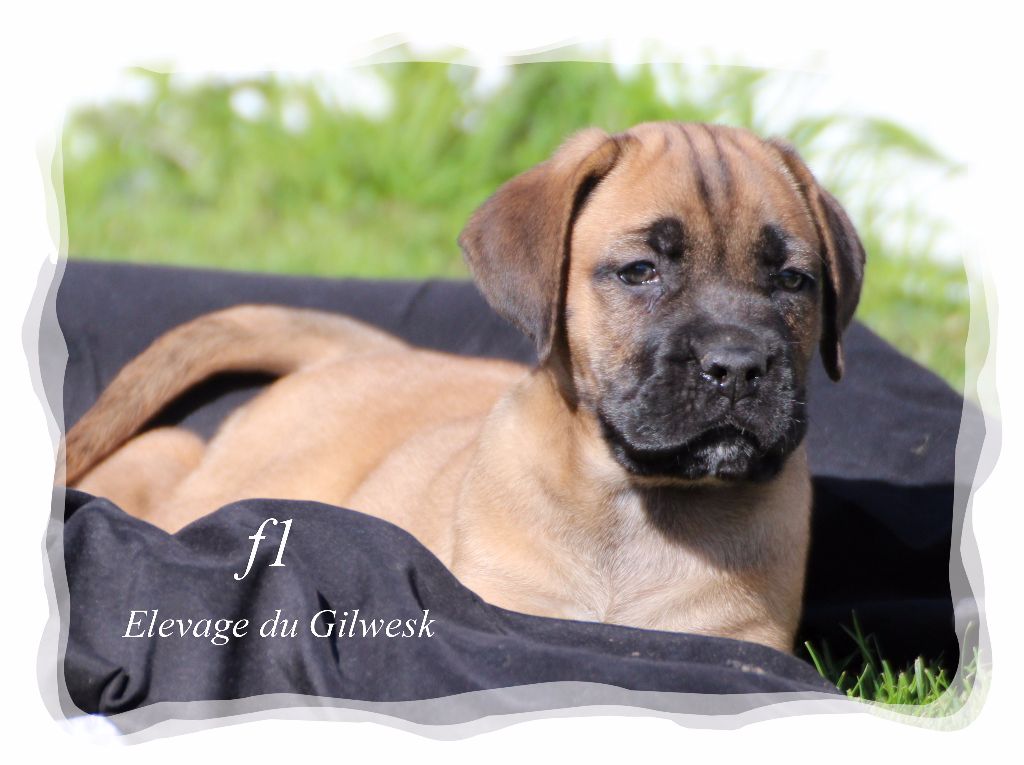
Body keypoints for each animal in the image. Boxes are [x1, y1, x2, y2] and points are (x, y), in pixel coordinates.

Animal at [62, 122, 864, 653]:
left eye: (794, 281)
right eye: (641, 271)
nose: (738, 366)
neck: (640, 508)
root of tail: (361, 350)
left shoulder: (741, 643)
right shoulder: (503, 611)